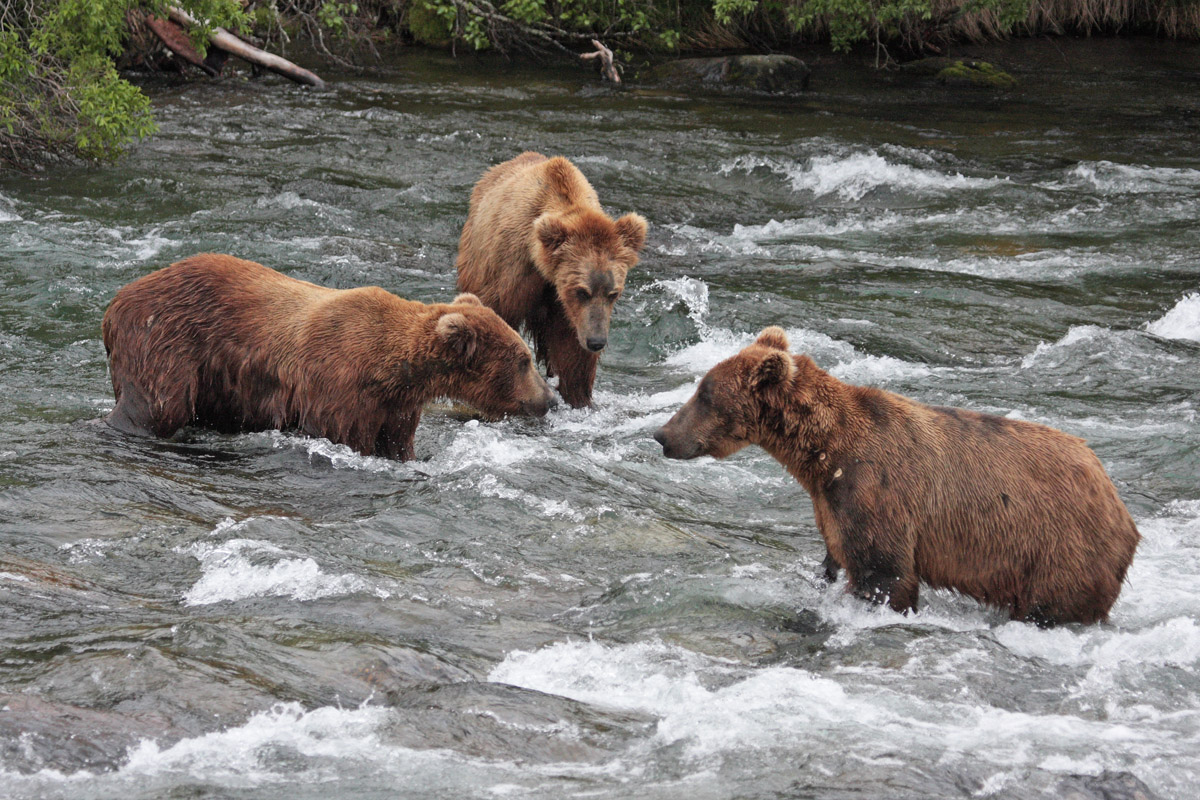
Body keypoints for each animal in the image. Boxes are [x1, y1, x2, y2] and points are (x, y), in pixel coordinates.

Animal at [102, 253, 554, 460]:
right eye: (523, 359)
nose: (548, 399)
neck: (391, 369)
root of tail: (115, 302)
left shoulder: (396, 406)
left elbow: (398, 445)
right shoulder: (338, 389)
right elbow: (339, 434)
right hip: (167, 342)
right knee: (158, 407)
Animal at [455, 152, 648, 408]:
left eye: (613, 293)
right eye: (582, 291)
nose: (597, 341)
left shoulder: (569, 311)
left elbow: (572, 352)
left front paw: (577, 395)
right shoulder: (512, 269)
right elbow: (499, 317)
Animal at [653, 327, 1140, 625]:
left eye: (704, 394)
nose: (662, 435)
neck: (822, 454)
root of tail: (1117, 500)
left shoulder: (877, 491)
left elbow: (885, 574)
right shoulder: (831, 504)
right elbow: (836, 557)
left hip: (1058, 549)